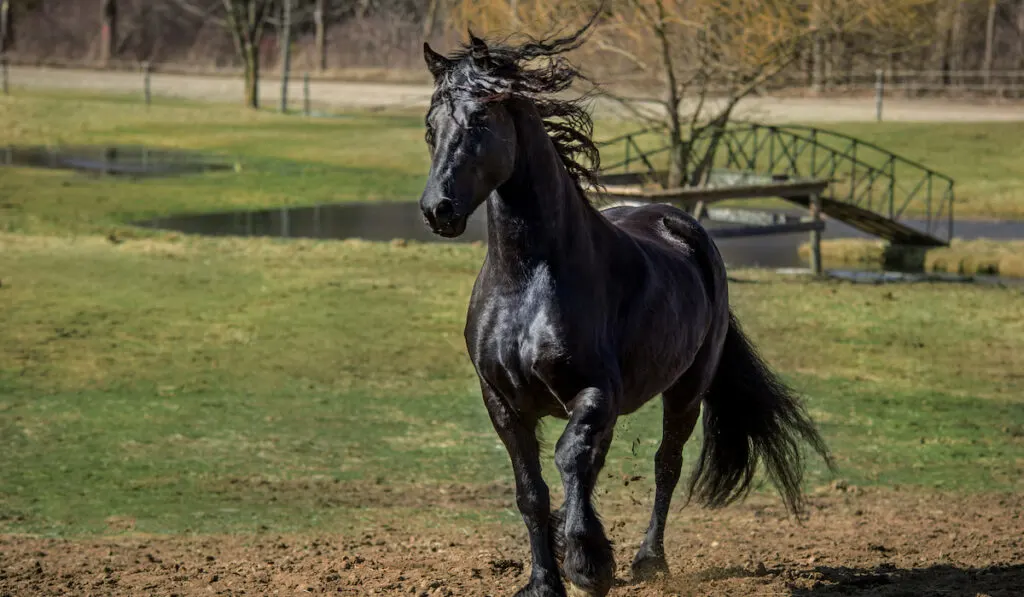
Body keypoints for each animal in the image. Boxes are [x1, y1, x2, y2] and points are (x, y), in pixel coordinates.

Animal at [415, 24, 831, 597]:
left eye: (479, 119)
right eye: (430, 126)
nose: (438, 210)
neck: (527, 283)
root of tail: (680, 222)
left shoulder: (596, 393)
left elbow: (570, 458)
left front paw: (589, 564)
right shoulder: (502, 402)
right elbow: (531, 490)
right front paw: (546, 579)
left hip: (686, 390)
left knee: (665, 465)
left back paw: (647, 560)